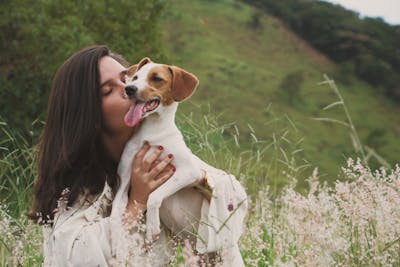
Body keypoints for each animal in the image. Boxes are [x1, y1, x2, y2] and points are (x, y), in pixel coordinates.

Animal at [111, 57, 205, 242]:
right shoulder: (124, 180)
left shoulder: (189, 171)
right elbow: (115, 213)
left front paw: (152, 226)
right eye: (135, 77)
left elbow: (153, 196)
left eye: (156, 78)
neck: (152, 130)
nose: (129, 89)